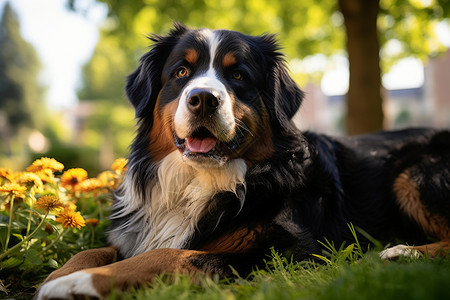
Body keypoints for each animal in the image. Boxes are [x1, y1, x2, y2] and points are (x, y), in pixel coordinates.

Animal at [36, 24, 450, 298]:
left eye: (237, 75)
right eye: (181, 72)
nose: (203, 98)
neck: (197, 181)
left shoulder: (288, 252)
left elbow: (169, 255)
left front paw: (78, 283)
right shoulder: (134, 233)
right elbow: (92, 250)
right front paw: (58, 277)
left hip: (415, 172)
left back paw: (401, 253)